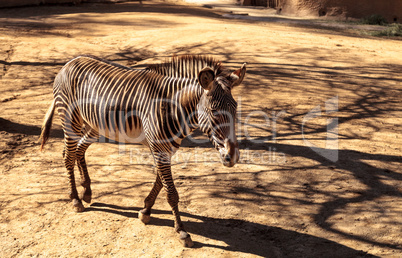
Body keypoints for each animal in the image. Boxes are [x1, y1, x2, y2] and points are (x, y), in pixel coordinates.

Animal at [40, 54, 245, 246]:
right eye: (214, 111)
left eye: (235, 109)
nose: (233, 157)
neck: (173, 108)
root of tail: (70, 62)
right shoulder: (159, 148)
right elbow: (171, 192)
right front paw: (181, 231)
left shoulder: (166, 149)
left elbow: (160, 182)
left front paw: (145, 211)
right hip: (70, 118)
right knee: (68, 156)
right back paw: (75, 199)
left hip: (95, 125)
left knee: (79, 149)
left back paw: (87, 191)